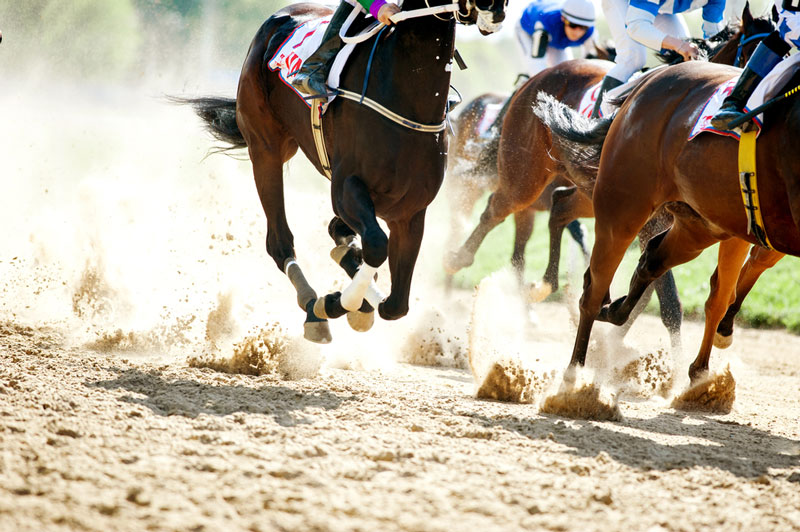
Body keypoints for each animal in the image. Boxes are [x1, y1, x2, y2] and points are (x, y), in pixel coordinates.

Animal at [181, 0, 507, 343]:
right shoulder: (347, 187)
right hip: (266, 148)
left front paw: (356, 297)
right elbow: (376, 246)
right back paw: (313, 305)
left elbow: (396, 304)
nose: (495, 10)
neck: (408, 100)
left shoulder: (410, 211)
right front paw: (335, 302)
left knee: (338, 234)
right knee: (280, 241)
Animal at [535, 30, 798, 384]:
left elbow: (722, 287)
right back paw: (575, 373)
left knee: (648, 260)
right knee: (594, 280)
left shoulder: (749, 229)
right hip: (621, 206)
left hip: (694, 225)